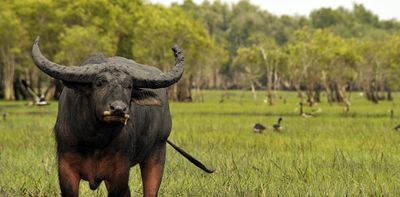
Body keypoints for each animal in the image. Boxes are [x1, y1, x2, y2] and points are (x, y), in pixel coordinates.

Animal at [31, 37, 212, 197]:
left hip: (157, 151)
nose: (118, 109)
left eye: (129, 85)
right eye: (99, 83)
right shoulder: (66, 169)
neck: (94, 141)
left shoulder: (119, 172)